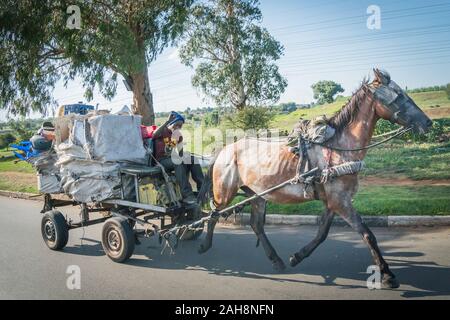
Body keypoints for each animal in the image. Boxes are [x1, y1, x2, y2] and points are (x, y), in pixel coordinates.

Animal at [197, 69, 432, 288]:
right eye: (399, 96)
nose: (428, 123)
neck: (338, 148)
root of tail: (224, 149)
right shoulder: (341, 201)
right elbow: (367, 234)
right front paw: (386, 273)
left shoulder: (333, 201)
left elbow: (322, 233)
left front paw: (297, 256)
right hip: (224, 192)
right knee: (213, 214)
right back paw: (204, 245)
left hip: (257, 194)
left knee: (256, 224)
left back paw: (276, 260)